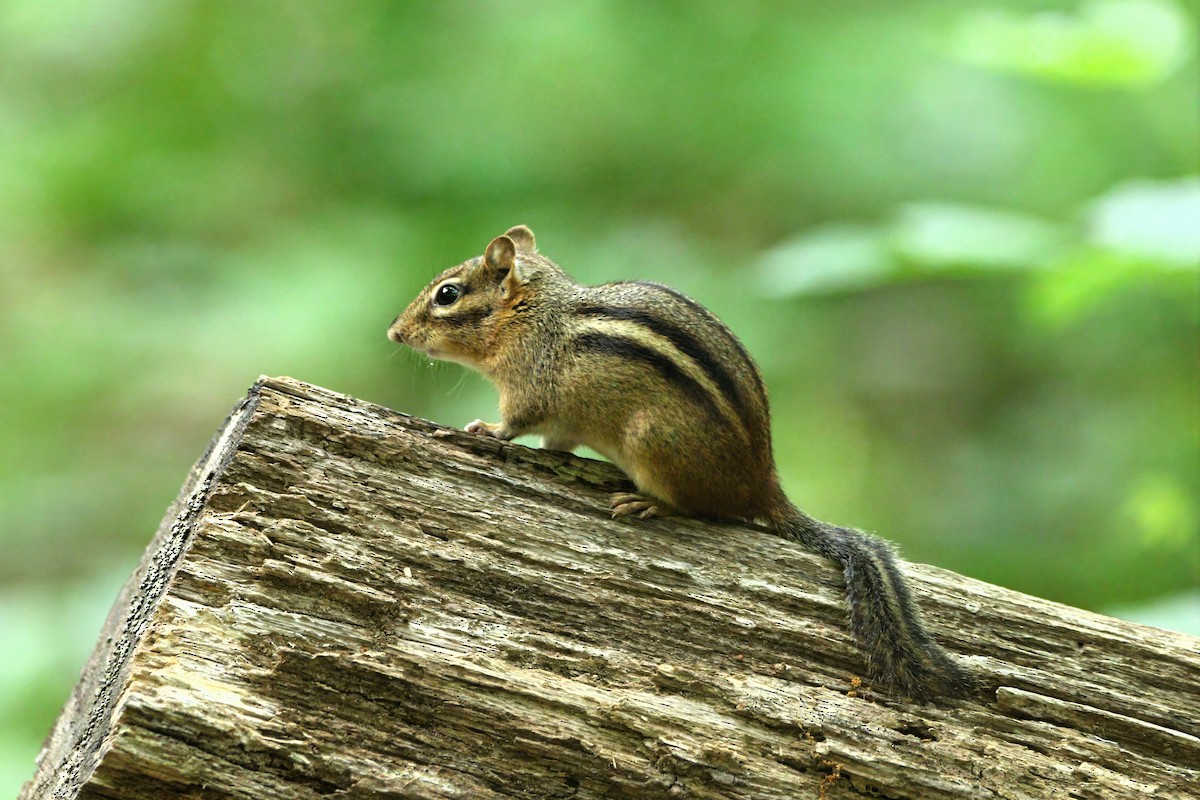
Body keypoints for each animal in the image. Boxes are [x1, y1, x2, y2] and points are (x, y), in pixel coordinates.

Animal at [387, 225, 974, 701]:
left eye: (447, 295)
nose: (394, 332)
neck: (532, 315)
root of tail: (762, 483)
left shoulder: (530, 387)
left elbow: (515, 422)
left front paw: (485, 431)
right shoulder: (563, 422)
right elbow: (559, 441)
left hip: (652, 443)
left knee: (700, 510)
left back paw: (648, 504)